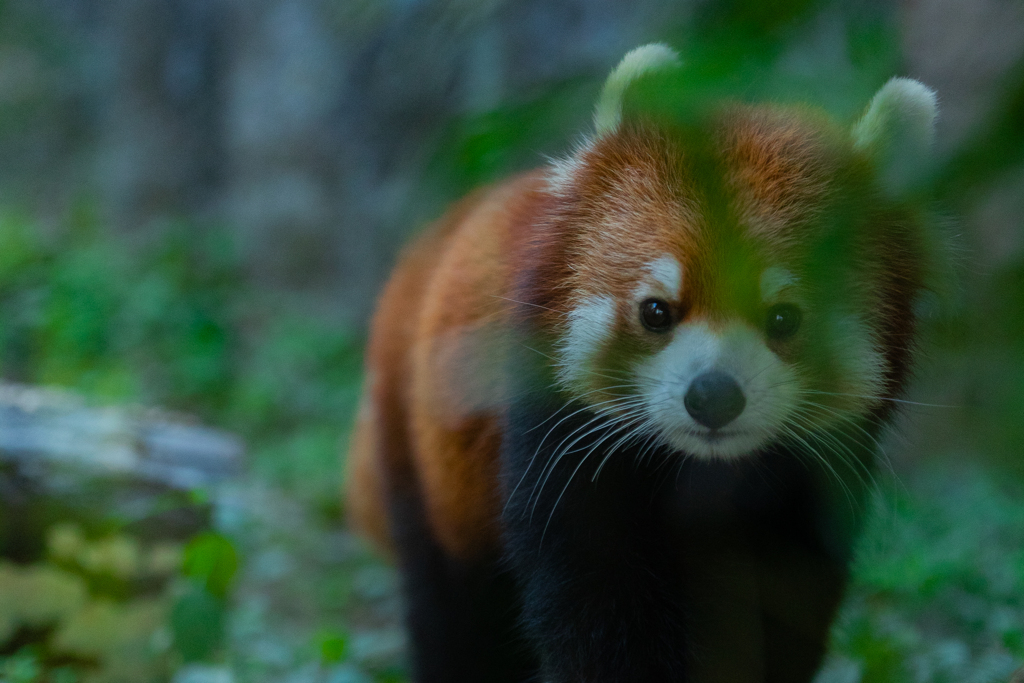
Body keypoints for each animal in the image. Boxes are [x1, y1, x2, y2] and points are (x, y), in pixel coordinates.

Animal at [344, 44, 942, 683]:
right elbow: (600, 616)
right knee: (454, 615)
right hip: (424, 455)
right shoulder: (559, 451)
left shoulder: (814, 487)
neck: (707, 471)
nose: (712, 396)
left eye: (784, 319)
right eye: (657, 311)